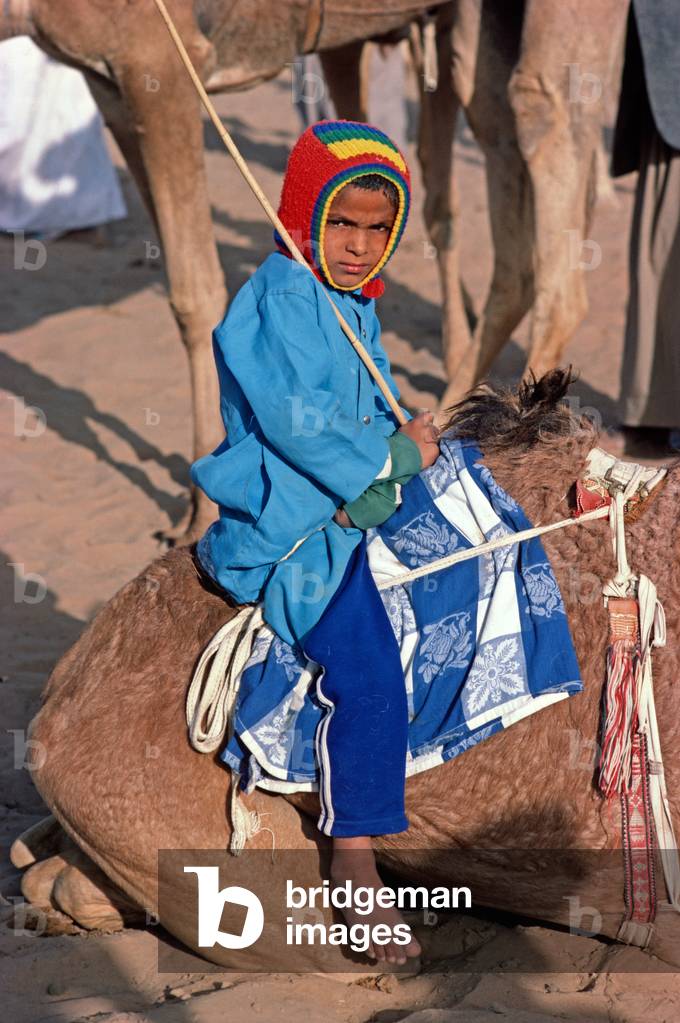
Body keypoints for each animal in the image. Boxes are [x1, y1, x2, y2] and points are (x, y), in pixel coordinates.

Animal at [0, 1, 627, 541]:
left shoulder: (157, 58)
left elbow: (194, 293)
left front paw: (200, 513)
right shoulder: (108, 83)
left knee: (542, 121)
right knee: (502, 189)